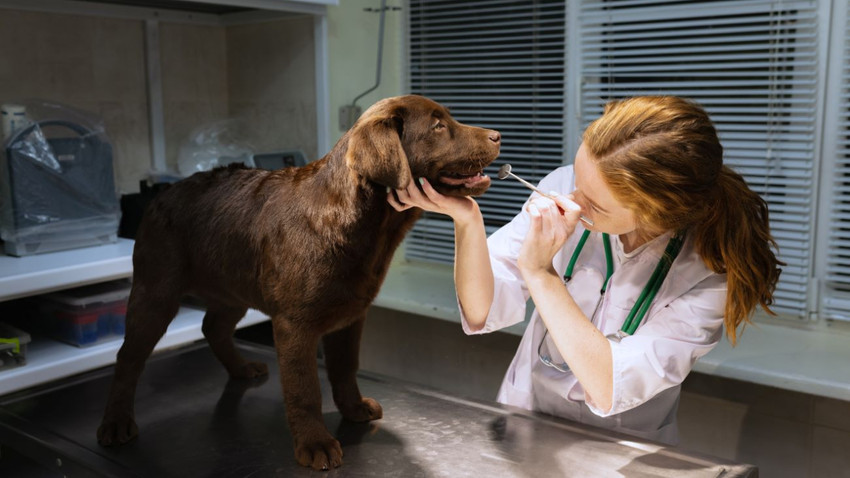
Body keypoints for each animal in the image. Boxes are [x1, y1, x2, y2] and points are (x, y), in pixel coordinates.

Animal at [97, 94, 496, 470]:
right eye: (437, 126)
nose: (497, 135)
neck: (366, 225)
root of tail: (158, 195)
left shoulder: (351, 316)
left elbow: (345, 367)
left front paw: (354, 408)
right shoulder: (294, 325)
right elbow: (304, 389)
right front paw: (315, 444)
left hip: (233, 286)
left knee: (213, 326)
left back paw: (240, 369)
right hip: (155, 290)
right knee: (128, 357)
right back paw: (116, 422)